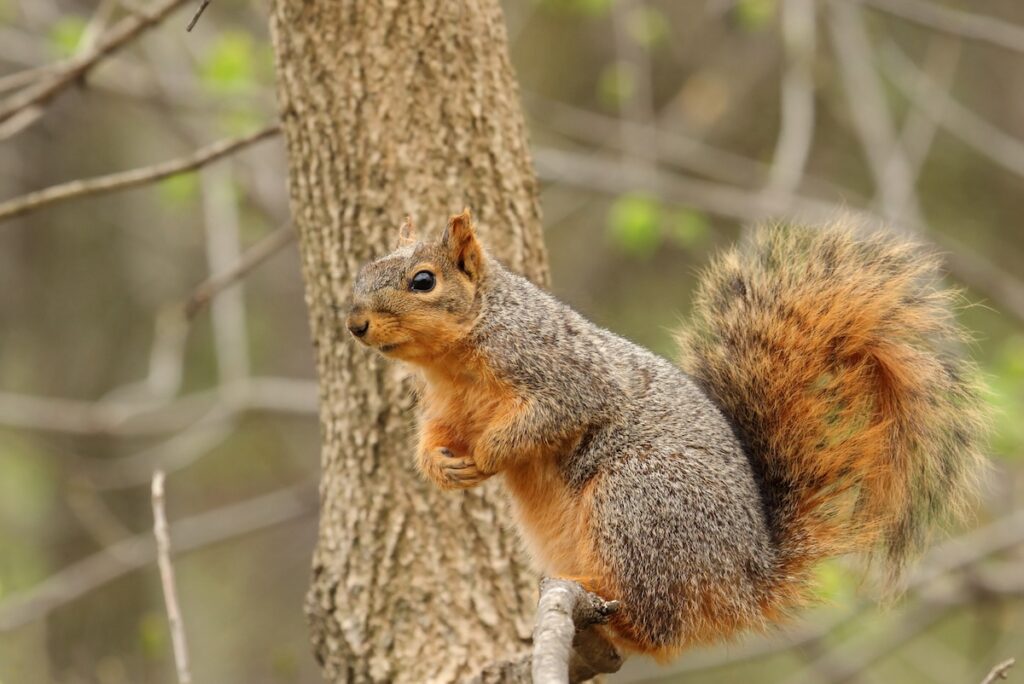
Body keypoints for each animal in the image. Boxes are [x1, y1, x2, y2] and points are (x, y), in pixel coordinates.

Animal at [345, 209, 988, 659]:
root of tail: (747, 575)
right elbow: (435, 434)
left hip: (636, 498)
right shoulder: (445, 406)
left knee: (661, 626)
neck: (455, 358)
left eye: (423, 281)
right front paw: (438, 466)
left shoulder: (563, 377)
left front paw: (487, 453)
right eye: (361, 271)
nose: (354, 324)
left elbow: (552, 417)